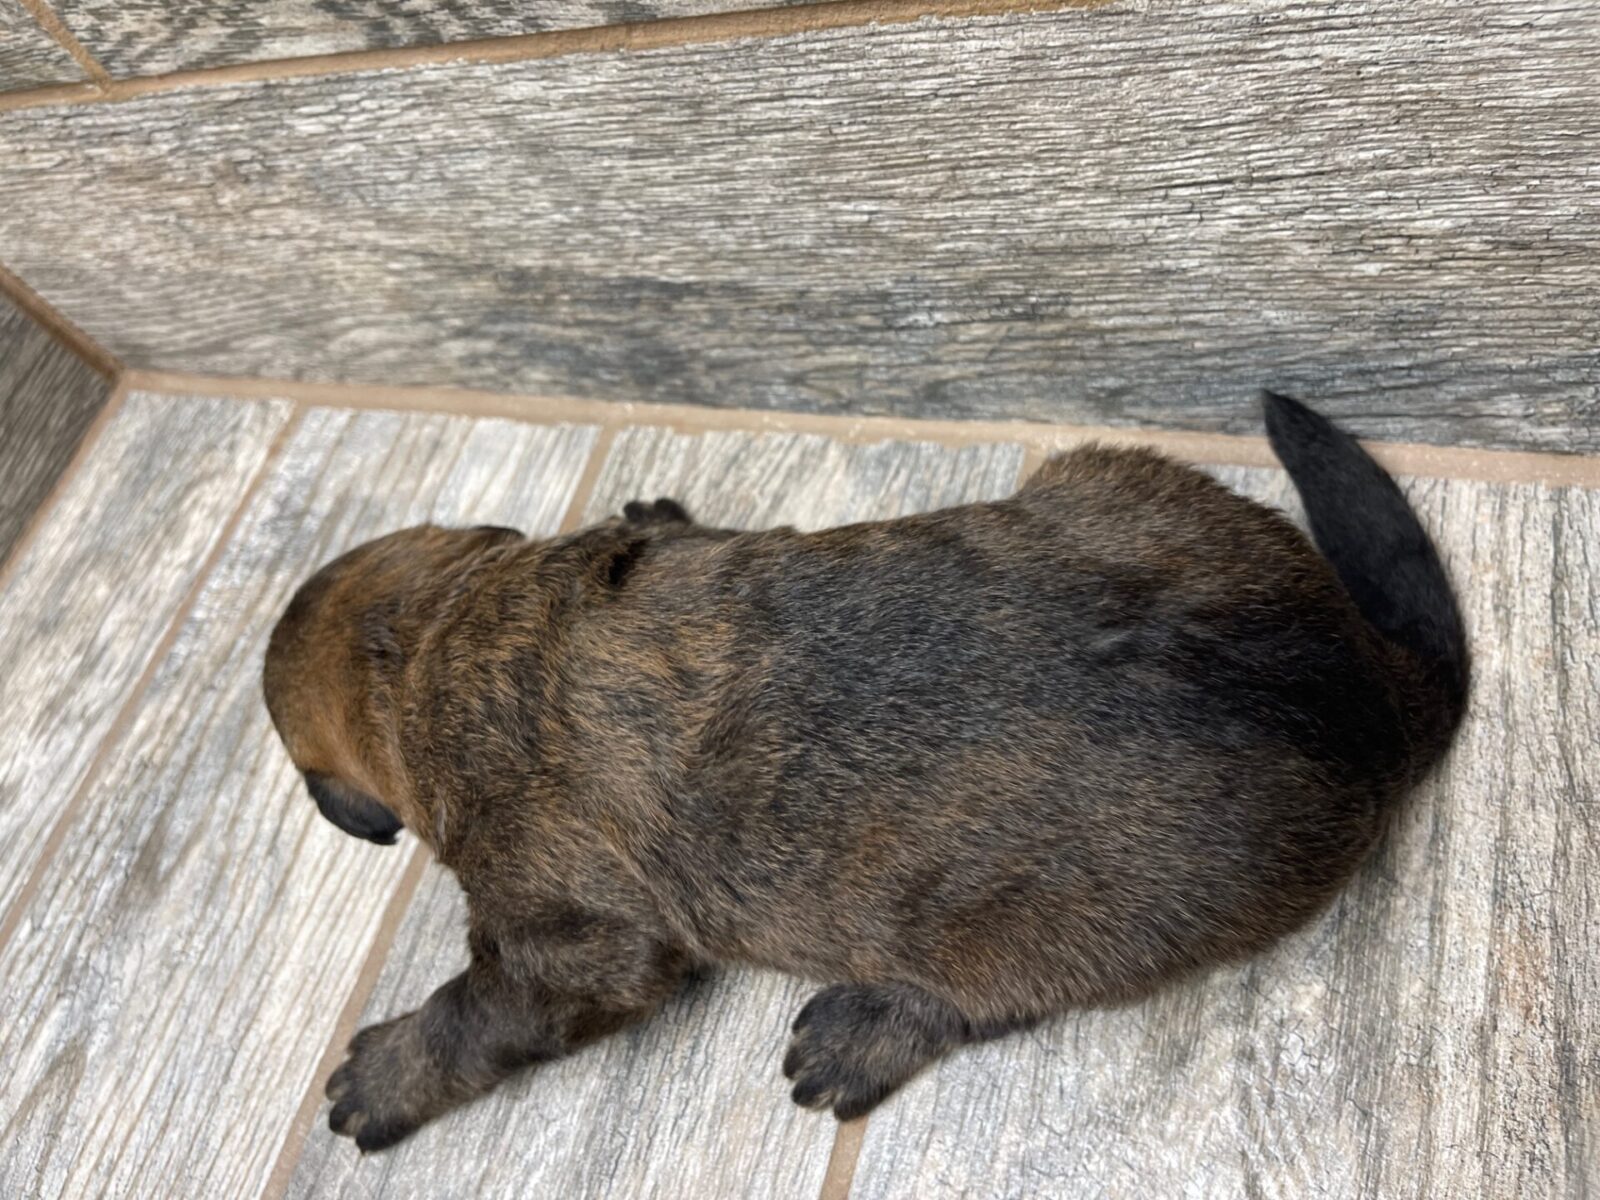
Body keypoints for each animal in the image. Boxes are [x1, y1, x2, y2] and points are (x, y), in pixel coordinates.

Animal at [262, 393, 1467, 1152]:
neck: (436, 635)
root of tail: (1375, 684)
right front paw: (655, 513)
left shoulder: (569, 939)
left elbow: (483, 1007)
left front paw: (384, 1073)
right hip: (1106, 474)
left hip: (1052, 929)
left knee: (992, 1000)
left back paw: (857, 1036)